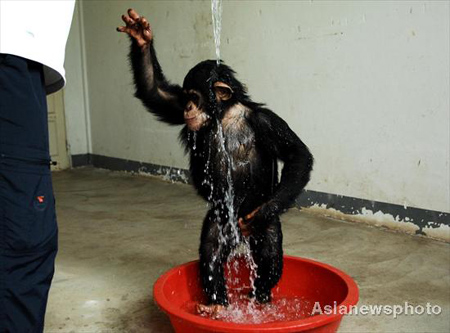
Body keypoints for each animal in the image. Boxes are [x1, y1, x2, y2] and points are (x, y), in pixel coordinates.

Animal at [117, 8, 312, 314]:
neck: (224, 114)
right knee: (211, 252)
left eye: (195, 96)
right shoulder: (172, 104)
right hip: (220, 219)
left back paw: (260, 297)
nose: (187, 107)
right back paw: (218, 304)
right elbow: (155, 91)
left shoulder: (267, 122)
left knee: (270, 257)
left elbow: (297, 154)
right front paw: (141, 36)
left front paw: (263, 211)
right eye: (185, 97)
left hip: (261, 230)